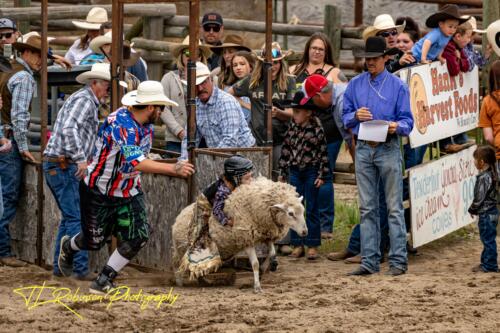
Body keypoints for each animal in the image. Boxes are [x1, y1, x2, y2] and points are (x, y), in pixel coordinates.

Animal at [172, 175, 306, 292]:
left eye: (303, 210)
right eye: (290, 213)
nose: (305, 232)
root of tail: (177, 218)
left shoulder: (267, 235)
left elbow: (272, 254)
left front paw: (264, 270)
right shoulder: (246, 239)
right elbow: (255, 263)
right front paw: (257, 286)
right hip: (181, 249)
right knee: (178, 265)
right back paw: (179, 283)